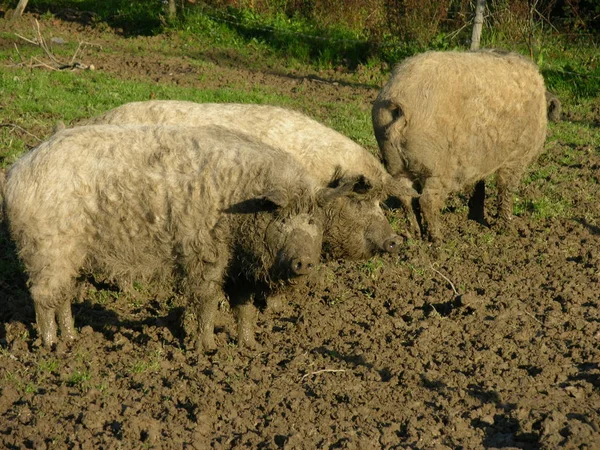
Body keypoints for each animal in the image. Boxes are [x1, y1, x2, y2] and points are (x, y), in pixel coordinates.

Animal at [3, 124, 360, 352]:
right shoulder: (203, 252)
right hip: (46, 248)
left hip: (70, 254)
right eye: (281, 219)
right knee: (41, 296)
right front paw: (207, 349)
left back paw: (72, 340)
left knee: (63, 296)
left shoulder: (239, 268)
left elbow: (244, 307)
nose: (305, 261)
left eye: (312, 220)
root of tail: (16, 172)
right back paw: (51, 346)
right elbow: (206, 300)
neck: (240, 206)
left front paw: (249, 346)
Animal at [372, 50, 552, 243]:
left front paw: (477, 218)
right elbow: (506, 190)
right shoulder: (517, 157)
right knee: (427, 200)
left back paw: (415, 235)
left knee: (405, 196)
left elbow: (478, 187)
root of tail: (398, 100)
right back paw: (439, 239)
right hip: (437, 166)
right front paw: (510, 229)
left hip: (394, 162)